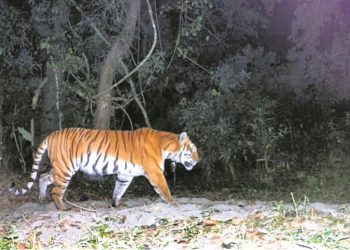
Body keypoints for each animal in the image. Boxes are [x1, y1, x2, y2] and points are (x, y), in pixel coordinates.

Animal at [8, 128, 200, 210]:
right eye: (192, 150)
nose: (198, 161)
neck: (166, 146)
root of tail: (52, 134)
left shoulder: (125, 174)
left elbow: (118, 190)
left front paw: (116, 205)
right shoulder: (155, 172)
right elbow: (165, 189)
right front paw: (173, 203)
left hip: (60, 169)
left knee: (43, 177)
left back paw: (41, 200)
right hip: (65, 169)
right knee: (55, 191)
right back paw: (63, 208)